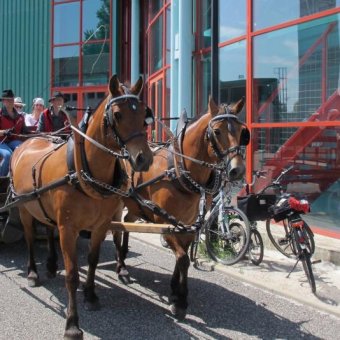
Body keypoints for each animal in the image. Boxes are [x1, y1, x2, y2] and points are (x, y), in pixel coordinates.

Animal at [9, 75, 153, 340]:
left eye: (143, 113)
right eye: (117, 114)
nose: (144, 159)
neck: (84, 170)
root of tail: (28, 141)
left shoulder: (100, 226)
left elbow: (93, 261)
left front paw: (91, 295)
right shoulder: (69, 229)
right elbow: (73, 274)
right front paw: (73, 325)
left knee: (48, 229)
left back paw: (52, 264)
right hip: (23, 209)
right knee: (30, 238)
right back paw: (33, 272)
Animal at [115, 95, 248, 318]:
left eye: (241, 131)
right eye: (217, 131)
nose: (237, 170)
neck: (179, 170)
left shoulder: (187, 225)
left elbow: (181, 257)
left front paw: (175, 291)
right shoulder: (164, 223)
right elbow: (184, 258)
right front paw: (181, 301)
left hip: (136, 206)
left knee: (126, 223)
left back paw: (123, 260)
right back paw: (121, 267)